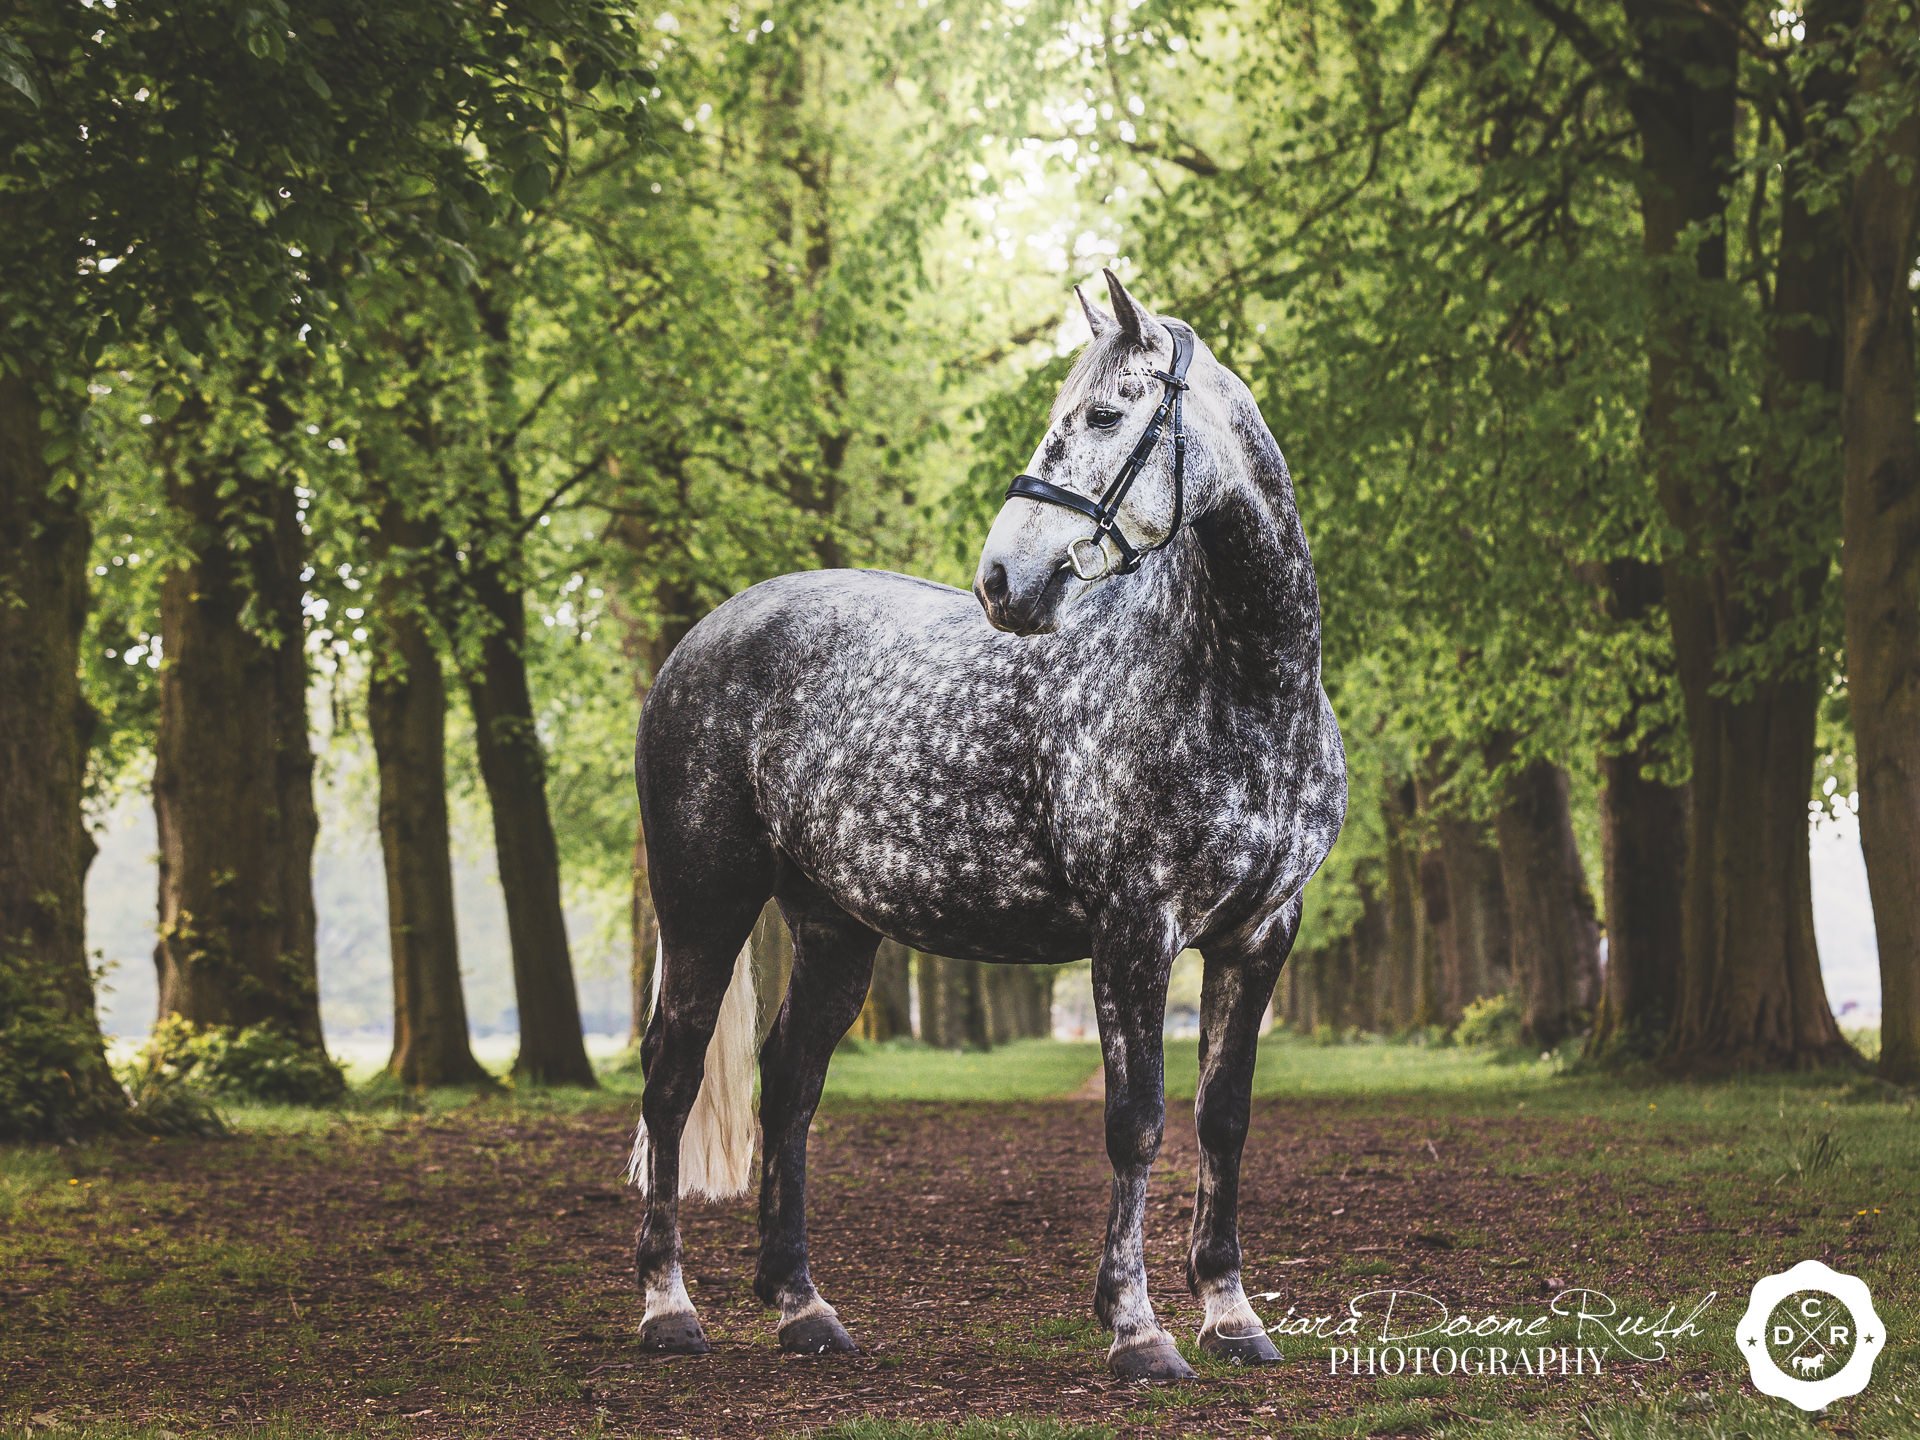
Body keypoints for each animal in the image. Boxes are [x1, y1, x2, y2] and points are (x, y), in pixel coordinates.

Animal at [628, 268, 1346, 1382]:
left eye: (1106, 415)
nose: (1002, 582)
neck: (1242, 686)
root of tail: (703, 638)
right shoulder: (1134, 930)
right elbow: (1136, 1124)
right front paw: (1137, 1329)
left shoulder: (1261, 934)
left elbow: (1221, 1121)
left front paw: (1231, 1317)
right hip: (706, 904)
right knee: (671, 1081)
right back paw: (669, 1308)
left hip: (833, 925)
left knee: (789, 1086)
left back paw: (802, 1307)